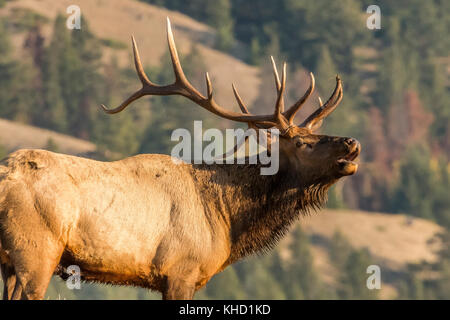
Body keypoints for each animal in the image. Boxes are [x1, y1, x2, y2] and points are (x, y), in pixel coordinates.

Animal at [0, 18, 358, 300]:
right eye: (301, 142)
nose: (351, 142)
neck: (226, 219)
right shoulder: (180, 271)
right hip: (37, 249)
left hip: (9, 260)